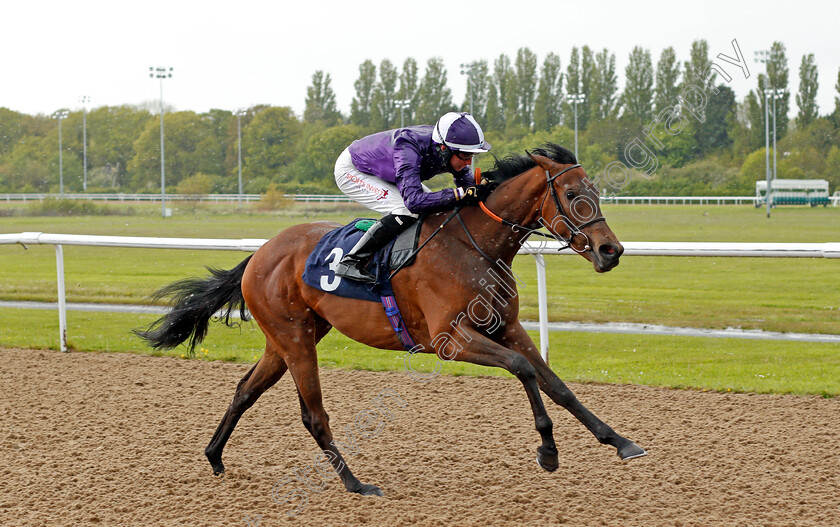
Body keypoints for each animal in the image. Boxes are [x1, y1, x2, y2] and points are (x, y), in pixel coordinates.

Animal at [138, 142, 648, 498]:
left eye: (596, 192)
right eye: (571, 194)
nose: (612, 250)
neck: (475, 245)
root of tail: (260, 254)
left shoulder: (507, 327)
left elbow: (556, 384)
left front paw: (620, 441)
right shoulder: (449, 340)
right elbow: (524, 371)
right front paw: (548, 451)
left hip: (286, 339)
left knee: (245, 389)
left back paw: (214, 456)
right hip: (295, 339)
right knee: (313, 415)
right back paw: (356, 484)